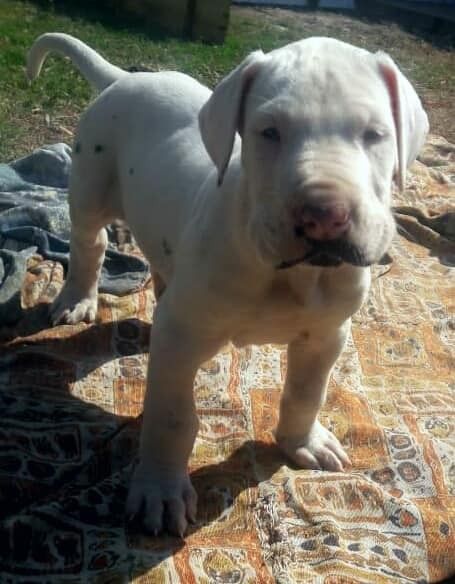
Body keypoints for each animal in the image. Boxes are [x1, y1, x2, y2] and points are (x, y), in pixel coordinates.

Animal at [27, 33, 428, 536]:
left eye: (375, 134)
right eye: (269, 132)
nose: (324, 217)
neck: (291, 274)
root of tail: (126, 78)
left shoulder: (326, 335)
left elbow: (307, 392)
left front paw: (302, 441)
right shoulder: (182, 339)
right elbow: (172, 417)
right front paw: (160, 490)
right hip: (90, 186)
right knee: (89, 244)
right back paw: (77, 299)